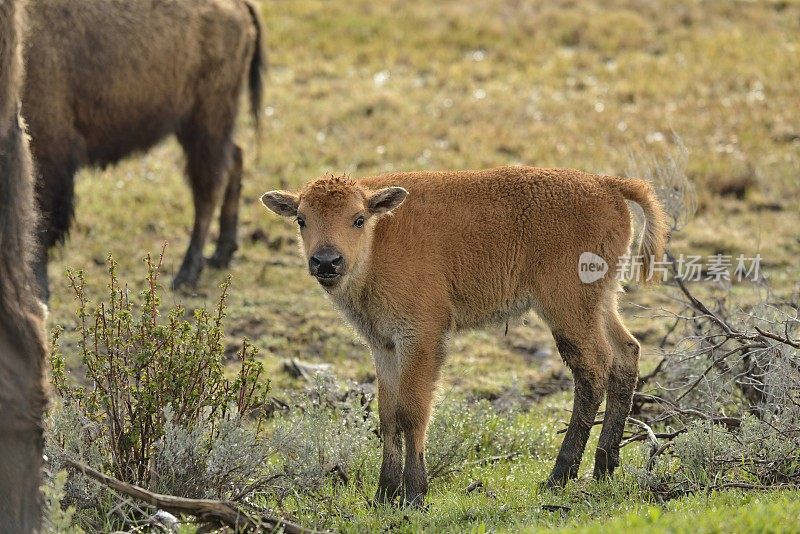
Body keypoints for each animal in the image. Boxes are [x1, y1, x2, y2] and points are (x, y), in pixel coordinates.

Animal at [21, 0, 264, 300]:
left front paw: (38, 288)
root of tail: (239, 6)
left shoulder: (49, 148)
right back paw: (220, 255)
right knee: (233, 160)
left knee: (208, 189)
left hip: (205, 121)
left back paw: (186, 275)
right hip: (206, 125)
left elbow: (42, 218)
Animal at [260, 166, 668, 506]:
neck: (379, 239)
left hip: (566, 308)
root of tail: (607, 185)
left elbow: (412, 412)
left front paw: (413, 495)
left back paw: (558, 478)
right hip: (601, 301)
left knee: (593, 368)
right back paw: (603, 468)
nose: (326, 261)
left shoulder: (421, 338)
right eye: (301, 219)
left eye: (358, 219)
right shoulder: (384, 345)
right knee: (626, 353)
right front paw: (383, 495)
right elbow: (387, 415)